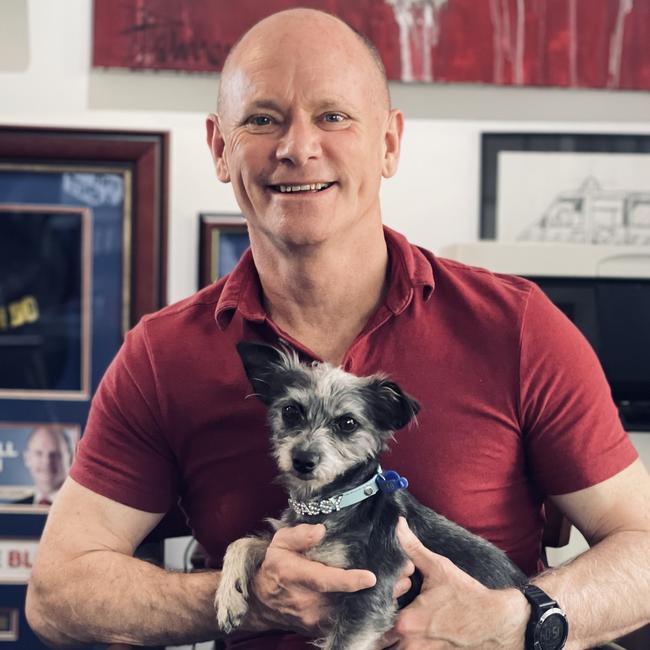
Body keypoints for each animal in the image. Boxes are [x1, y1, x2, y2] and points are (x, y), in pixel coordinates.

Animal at [215, 342, 524, 644]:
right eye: (291, 411)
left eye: (348, 423)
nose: (302, 459)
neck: (333, 504)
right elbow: (243, 542)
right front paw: (229, 596)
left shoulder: (370, 593)